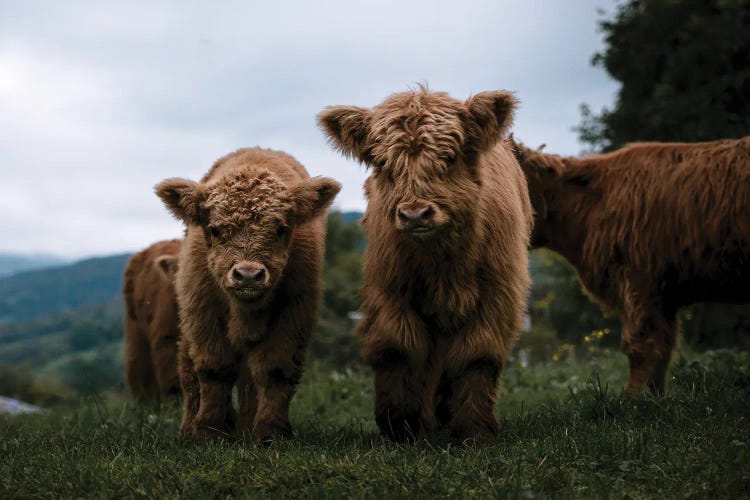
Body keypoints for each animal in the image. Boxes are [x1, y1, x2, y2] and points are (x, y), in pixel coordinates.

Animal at [155, 146, 340, 440]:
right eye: (215, 229)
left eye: (281, 228)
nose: (249, 275)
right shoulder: (202, 310)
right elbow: (214, 370)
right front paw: (208, 431)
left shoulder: (294, 312)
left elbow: (275, 370)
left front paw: (271, 432)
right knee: (189, 372)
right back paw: (189, 430)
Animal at [318, 87, 536, 442]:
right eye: (384, 164)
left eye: (449, 158)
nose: (415, 214)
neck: (442, 263)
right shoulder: (389, 290)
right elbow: (399, 346)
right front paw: (401, 425)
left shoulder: (497, 295)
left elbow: (477, 354)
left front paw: (475, 429)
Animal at [516, 138, 750, 394]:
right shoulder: (663, 296)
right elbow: (663, 347)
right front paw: (655, 393)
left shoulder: (640, 282)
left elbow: (641, 345)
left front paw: (635, 395)